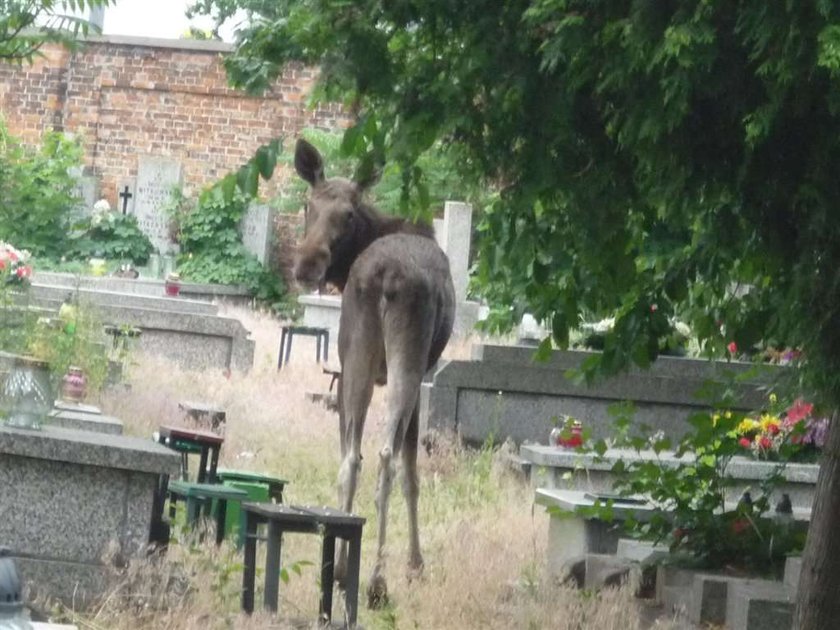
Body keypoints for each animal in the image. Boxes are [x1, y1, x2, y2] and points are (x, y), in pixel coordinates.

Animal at [294, 139, 456, 612]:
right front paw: (416, 564)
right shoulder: (425, 374)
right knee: (385, 456)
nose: (307, 264)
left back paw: (341, 570)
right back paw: (378, 581)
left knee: (351, 456)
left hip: (357, 356)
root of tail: (383, 277)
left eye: (347, 213)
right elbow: (412, 473)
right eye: (308, 205)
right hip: (407, 358)